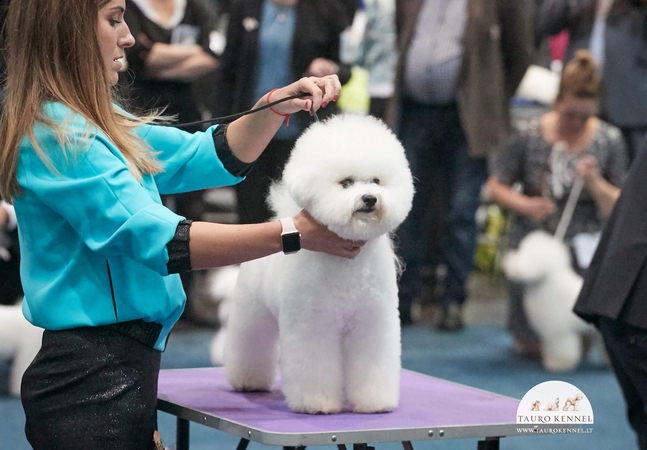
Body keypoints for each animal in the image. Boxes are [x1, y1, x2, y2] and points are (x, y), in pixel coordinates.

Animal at [225, 114, 412, 414]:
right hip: (253, 312)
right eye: (346, 183)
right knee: (250, 343)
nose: (370, 199)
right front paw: (318, 403)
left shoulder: (372, 322)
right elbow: (314, 366)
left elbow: (373, 364)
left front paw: (374, 403)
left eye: (376, 181)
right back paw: (247, 381)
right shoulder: (313, 325)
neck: (348, 267)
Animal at [504, 230, 600, 370]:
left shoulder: (558, 331)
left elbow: (561, 349)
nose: (508, 259)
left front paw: (558, 364)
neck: (546, 283)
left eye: (522, 252)